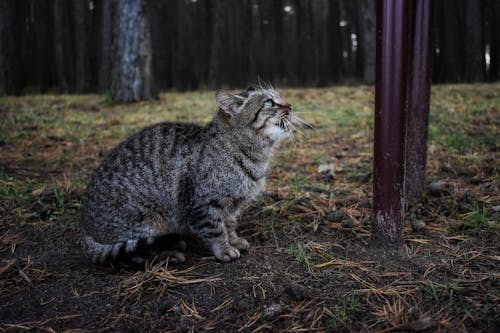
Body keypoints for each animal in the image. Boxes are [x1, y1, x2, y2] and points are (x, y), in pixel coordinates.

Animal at [81, 87, 300, 266]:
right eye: (269, 102)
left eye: (279, 98)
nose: (291, 106)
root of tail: (86, 229)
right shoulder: (203, 204)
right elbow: (215, 229)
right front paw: (224, 249)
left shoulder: (232, 204)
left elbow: (229, 224)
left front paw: (234, 240)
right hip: (147, 221)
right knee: (136, 251)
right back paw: (169, 254)